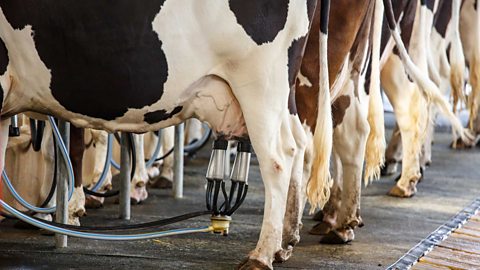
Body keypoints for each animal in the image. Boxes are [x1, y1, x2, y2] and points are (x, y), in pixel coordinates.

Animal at [0, 1, 334, 268]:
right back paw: (285, 242)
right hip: (282, 93)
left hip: (260, 82)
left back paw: (262, 255)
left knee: (278, 157)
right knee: (299, 142)